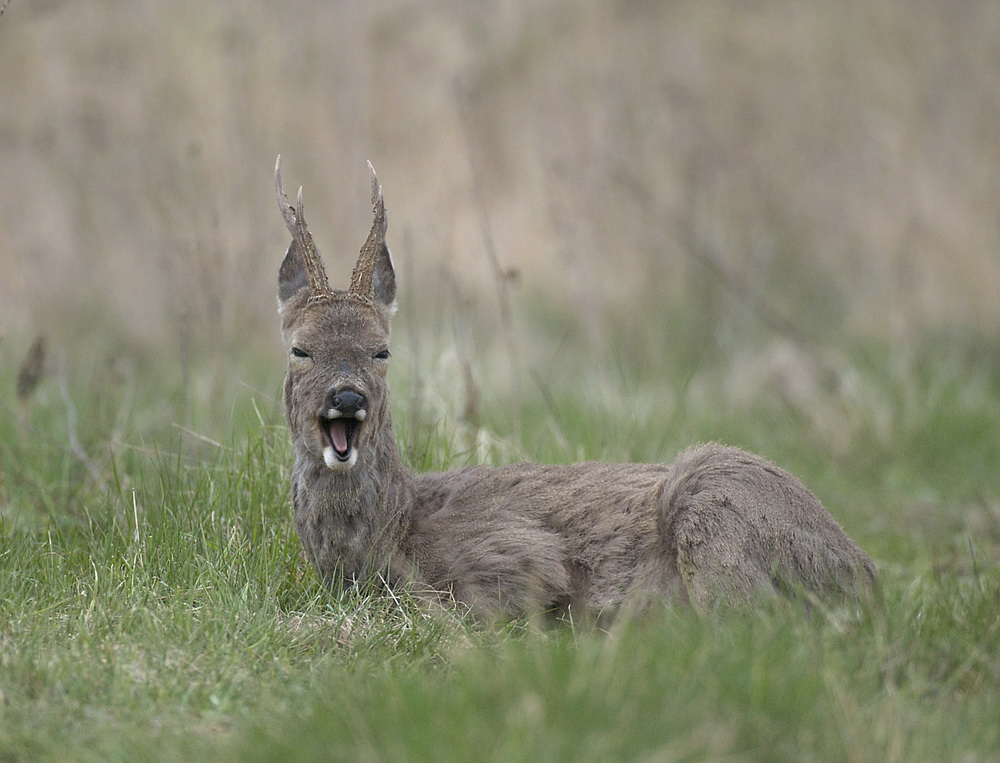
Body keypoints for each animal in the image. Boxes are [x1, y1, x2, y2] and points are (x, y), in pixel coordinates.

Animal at [274, 158, 876, 616]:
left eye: (382, 351)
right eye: (300, 349)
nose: (347, 397)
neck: (393, 533)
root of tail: (863, 573)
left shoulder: (519, 555)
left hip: (713, 499)